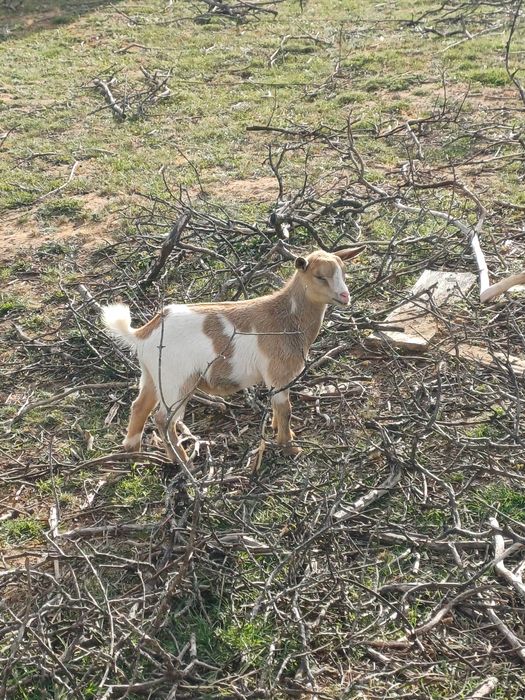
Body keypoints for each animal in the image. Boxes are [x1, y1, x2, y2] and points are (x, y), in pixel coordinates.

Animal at [102, 247, 363, 461]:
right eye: (319, 276)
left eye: (343, 272)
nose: (345, 296)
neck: (286, 317)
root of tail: (143, 333)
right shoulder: (278, 373)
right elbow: (285, 409)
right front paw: (289, 446)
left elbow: (277, 406)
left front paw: (276, 430)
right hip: (176, 381)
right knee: (164, 420)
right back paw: (183, 461)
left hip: (152, 375)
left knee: (140, 406)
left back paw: (133, 450)